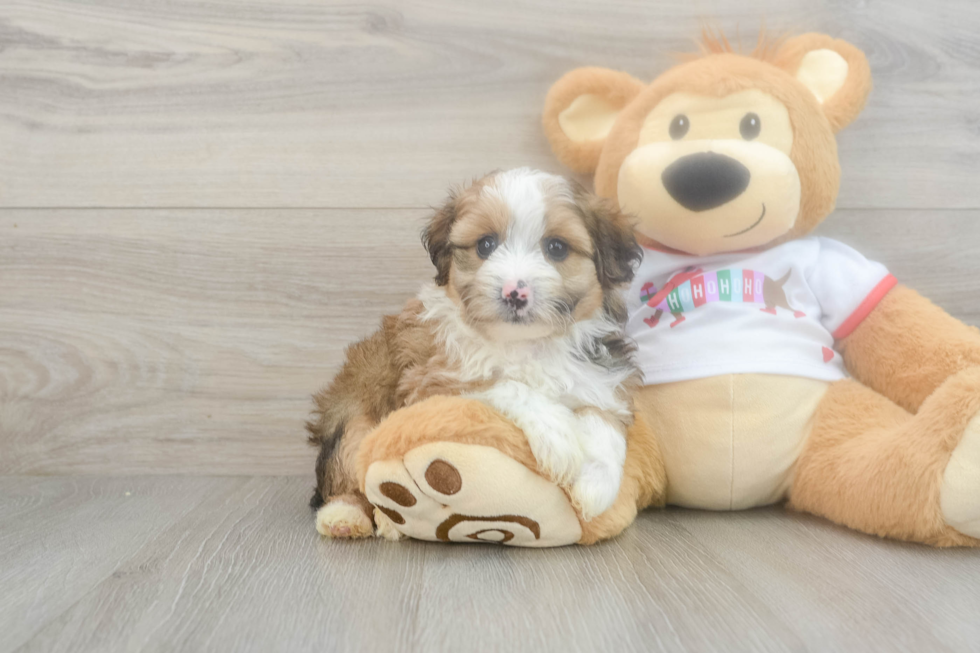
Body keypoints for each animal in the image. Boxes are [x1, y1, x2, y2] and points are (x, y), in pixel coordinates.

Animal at [308, 169, 644, 540]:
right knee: (349, 473)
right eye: (486, 245)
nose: (514, 292)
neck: (524, 344)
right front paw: (560, 439)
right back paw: (346, 515)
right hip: (352, 420)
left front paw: (596, 487)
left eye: (556, 248)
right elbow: (503, 384)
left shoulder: (601, 374)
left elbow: (605, 420)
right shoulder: (429, 380)